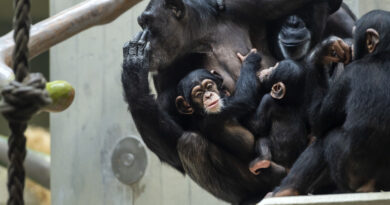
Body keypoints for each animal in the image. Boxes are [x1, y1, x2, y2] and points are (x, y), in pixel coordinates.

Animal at [272, 10, 390, 197]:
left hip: (350, 175)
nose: (351, 47)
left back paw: (284, 191)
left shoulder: (347, 79)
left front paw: (321, 52)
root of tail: (370, 187)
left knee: (324, 139)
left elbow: (319, 121)